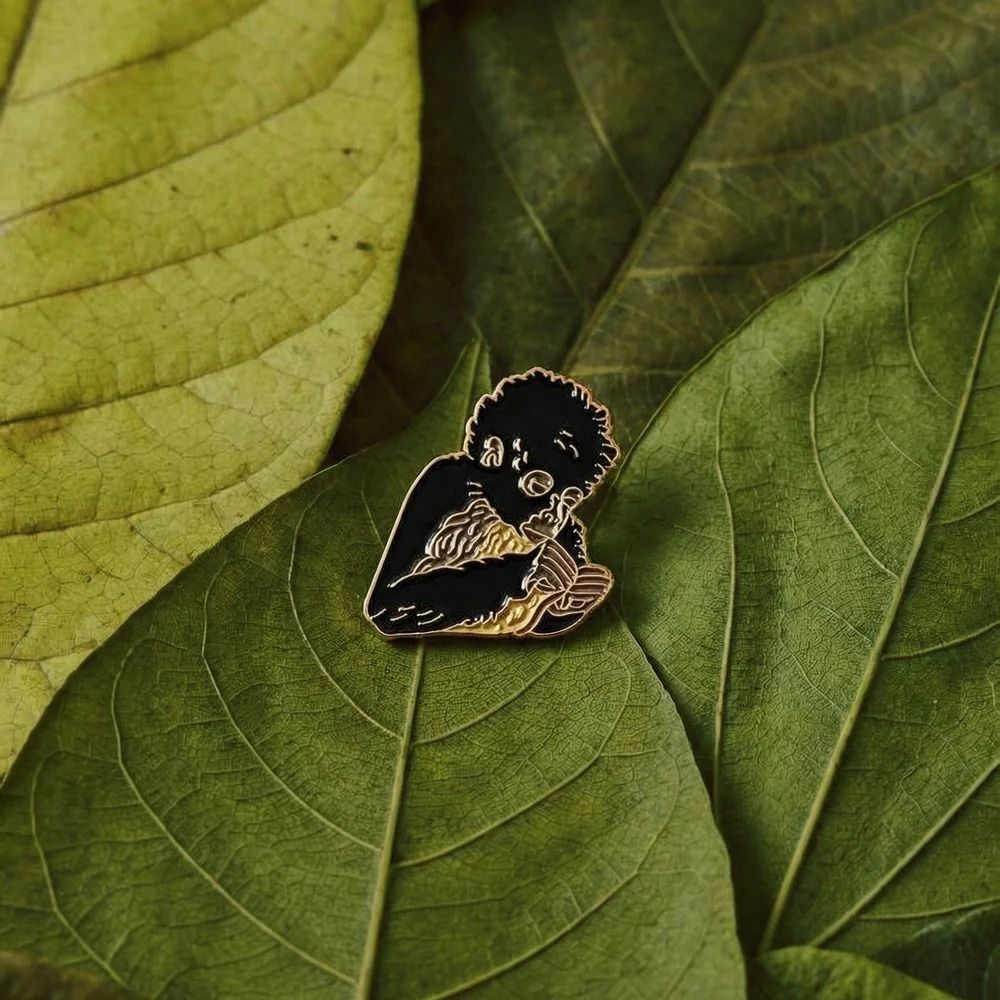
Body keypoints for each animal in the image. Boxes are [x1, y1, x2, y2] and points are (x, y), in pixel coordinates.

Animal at [364, 368, 620, 639]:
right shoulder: (440, 480)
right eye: (537, 486)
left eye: (570, 498)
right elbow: (388, 598)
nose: (551, 516)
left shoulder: (569, 526)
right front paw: (539, 563)